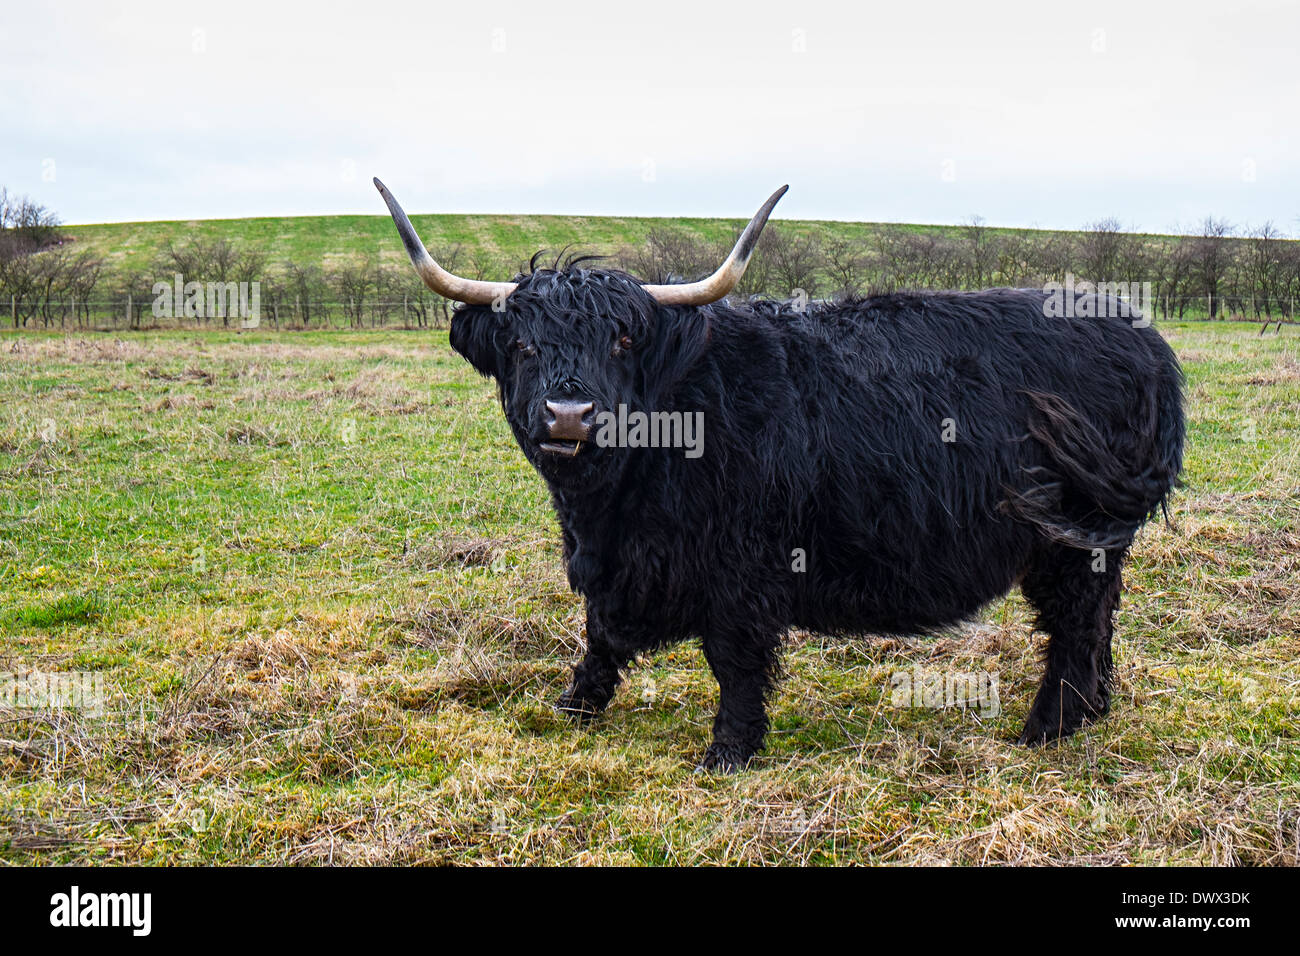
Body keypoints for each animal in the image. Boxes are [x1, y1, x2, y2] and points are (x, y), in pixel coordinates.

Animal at [379, 179, 1190, 775]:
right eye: (520, 344)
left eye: (621, 340)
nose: (570, 413)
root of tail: (1139, 334)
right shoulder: (617, 561)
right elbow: (601, 632)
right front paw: (574, 705)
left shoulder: (744, 567)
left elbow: (735, 659)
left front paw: (728, 752)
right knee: (1098, 620)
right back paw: (1092, 714)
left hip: (1068, 537)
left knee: (1073, 624)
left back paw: (1044, 730)